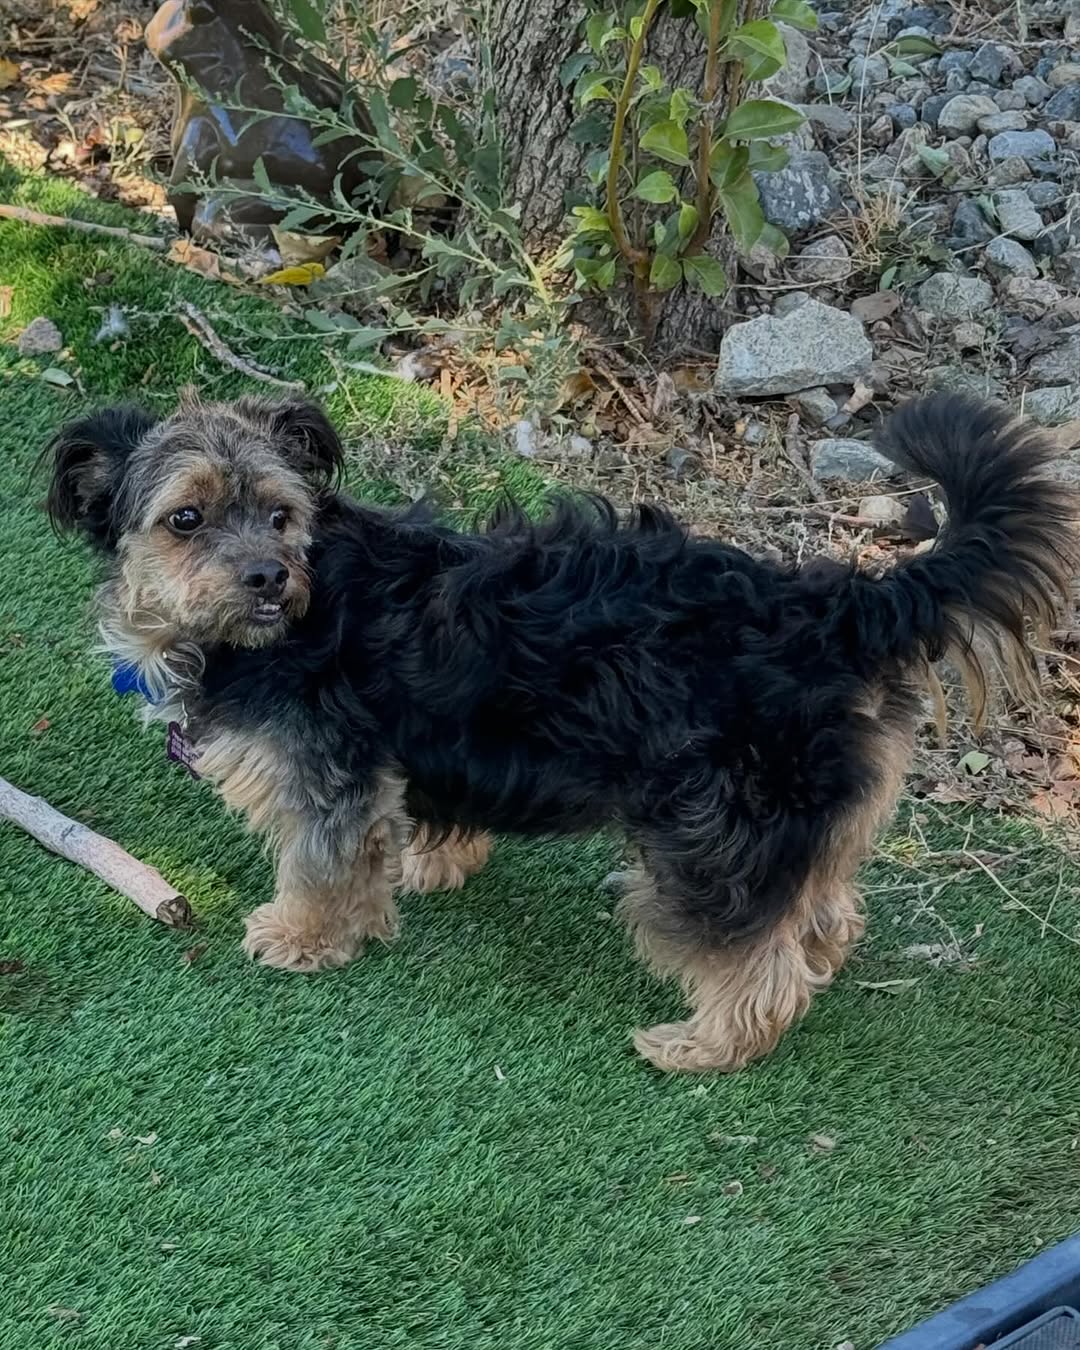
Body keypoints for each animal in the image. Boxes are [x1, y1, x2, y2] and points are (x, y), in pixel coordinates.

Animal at [48, 394, 1080, 1074]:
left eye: (280, 513)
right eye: (185, 519)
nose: (267, 577)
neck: (287, 614)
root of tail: (839, 603)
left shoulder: (325, 770)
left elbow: (322, 862)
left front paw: (304, 937)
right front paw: (427, 867)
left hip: (714, 826)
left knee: (755, 952)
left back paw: (707, 1043)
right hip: (803, 807)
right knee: (822, 907)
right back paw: (815, 958)